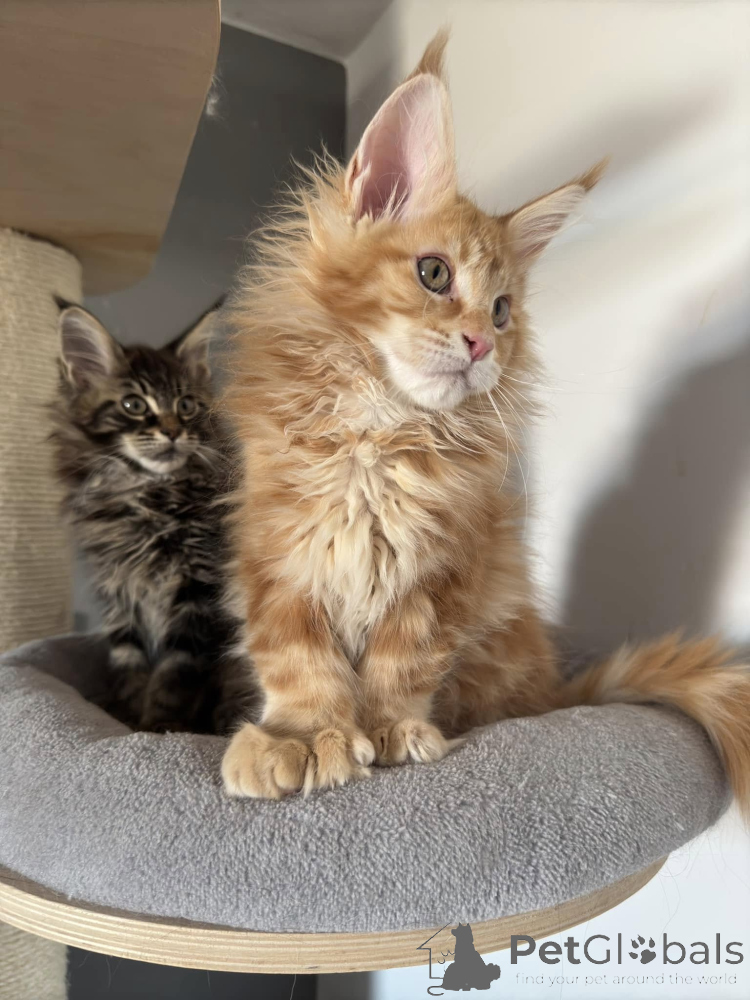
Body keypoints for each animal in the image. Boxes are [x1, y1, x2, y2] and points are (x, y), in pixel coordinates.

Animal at [50, 301, 255, 733]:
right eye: (134, 405)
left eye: (186, 406)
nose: (173, 432)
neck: (144, 496)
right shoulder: (117, 591)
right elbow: (128, 663)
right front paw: (128, 718)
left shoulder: (198, 590)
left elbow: (175, 672)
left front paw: (160, 726)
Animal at [220, 32, 750, 805]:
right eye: (435, 274)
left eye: (502, 311)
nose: (481, 345)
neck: (381, 433)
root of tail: (556, 693)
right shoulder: (281, 554)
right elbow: (296, 658)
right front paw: (301, 736)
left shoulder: (446, 574)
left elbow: (403, 661)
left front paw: (389, 730)